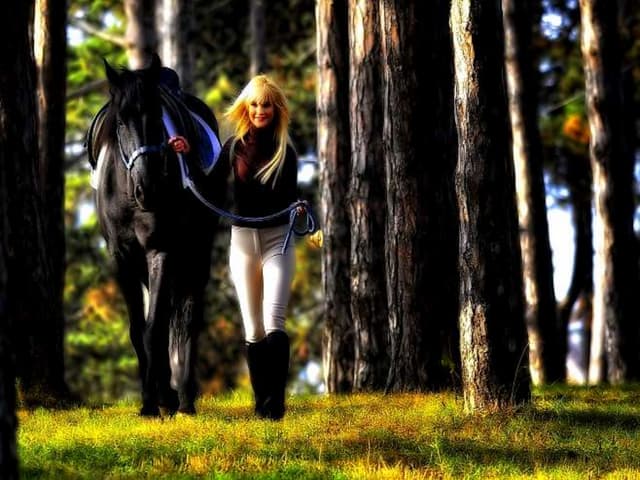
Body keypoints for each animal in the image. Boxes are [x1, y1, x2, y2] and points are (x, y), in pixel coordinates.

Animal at [86, 54, 227, 416]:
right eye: (121, 122)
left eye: (155, 117)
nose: (148, 188)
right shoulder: (122, 259)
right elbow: (140, 330)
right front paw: (153, 400)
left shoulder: (160, 251)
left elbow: (155, 329)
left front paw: (155, 403)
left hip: (196, 251)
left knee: (187, 316)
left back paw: (185, 400)